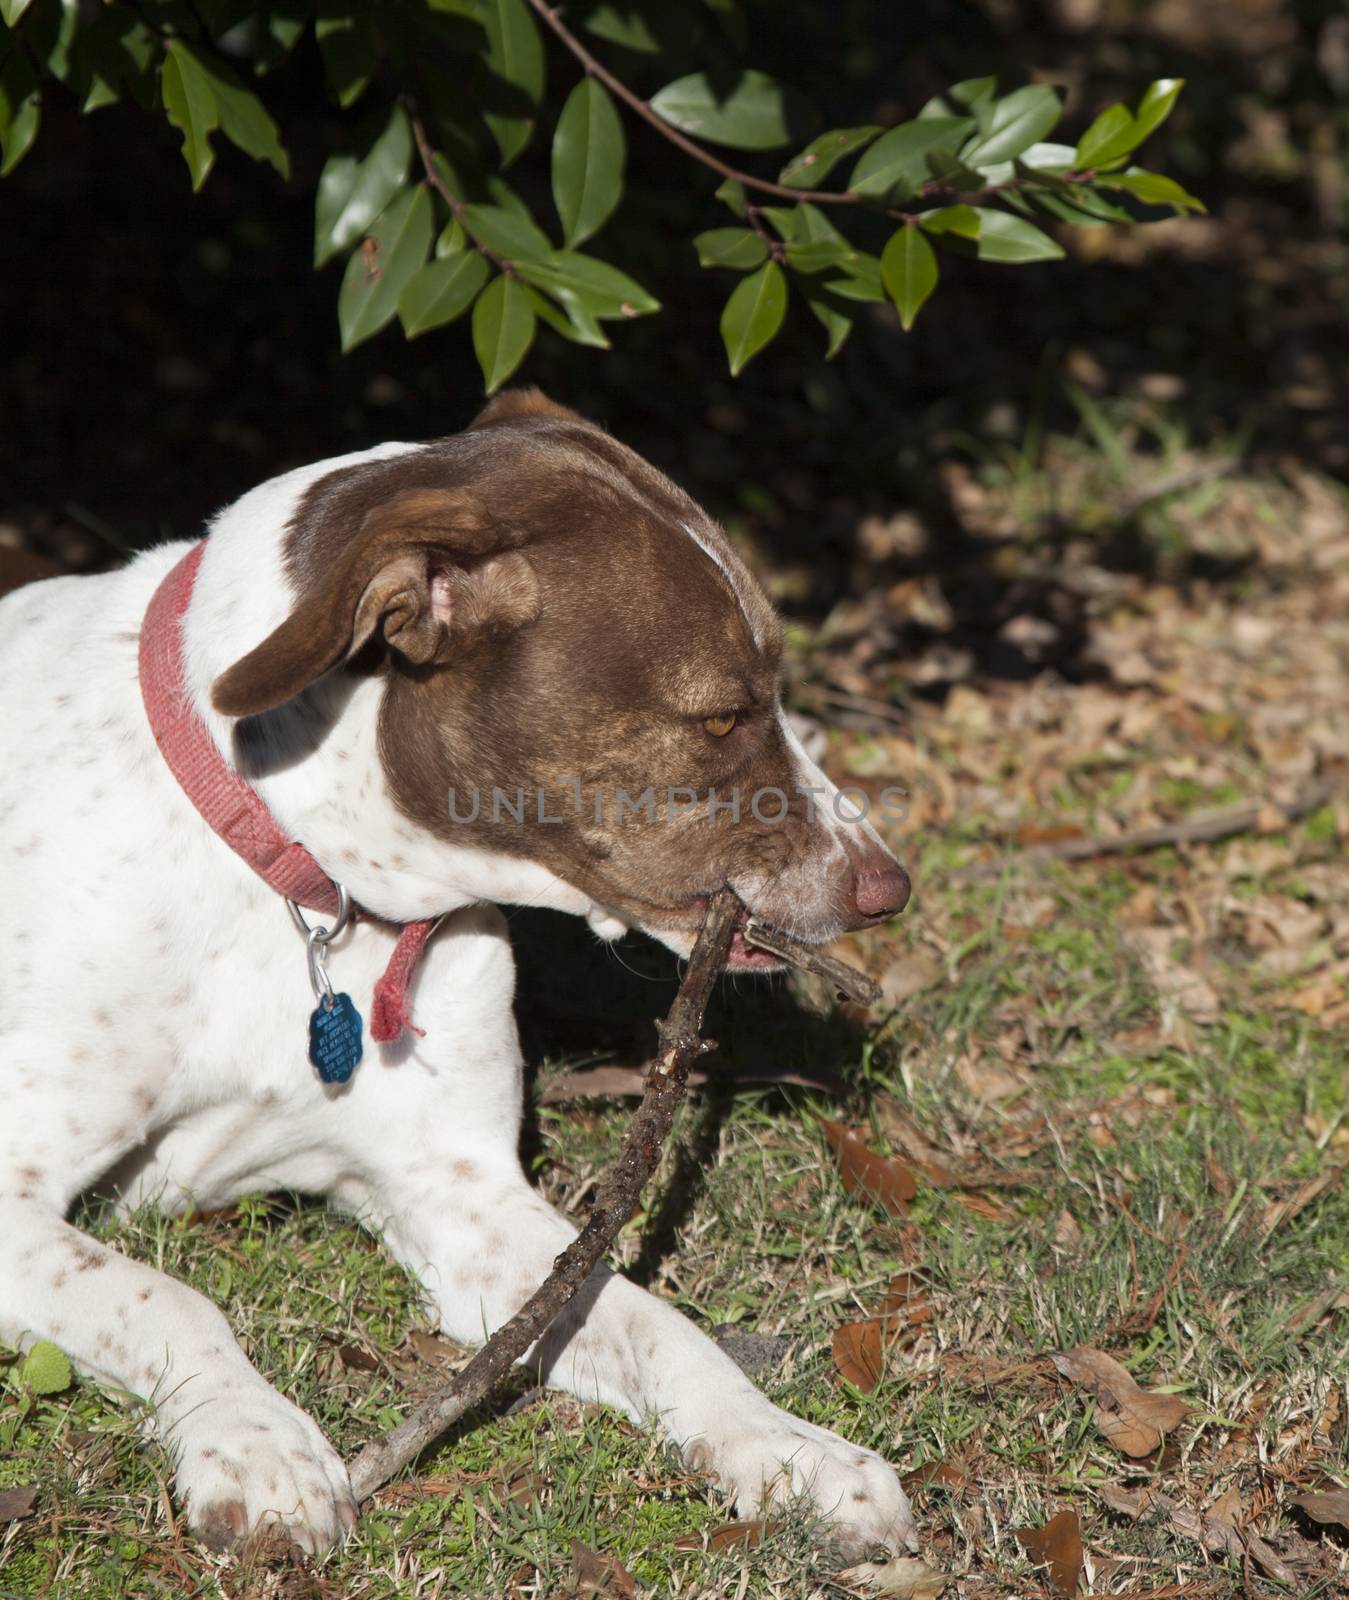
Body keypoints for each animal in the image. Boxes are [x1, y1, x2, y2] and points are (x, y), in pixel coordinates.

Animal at [0, 390, 915, 1561]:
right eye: (720, 715)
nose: (888, 887)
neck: (303, 884)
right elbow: (166, 1298)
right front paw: (256, 1442)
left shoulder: (464, 1198)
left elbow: (651, 1321)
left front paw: (791, 1450)